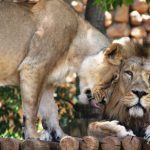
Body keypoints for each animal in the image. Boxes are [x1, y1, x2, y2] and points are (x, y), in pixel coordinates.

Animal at [0, 0, 125, 141]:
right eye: (114, 77)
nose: (104, 101)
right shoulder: (34, 67)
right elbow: (32, 108)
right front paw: (33, 136)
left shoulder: (47, 81)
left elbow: (51, 111)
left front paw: (62, 136)